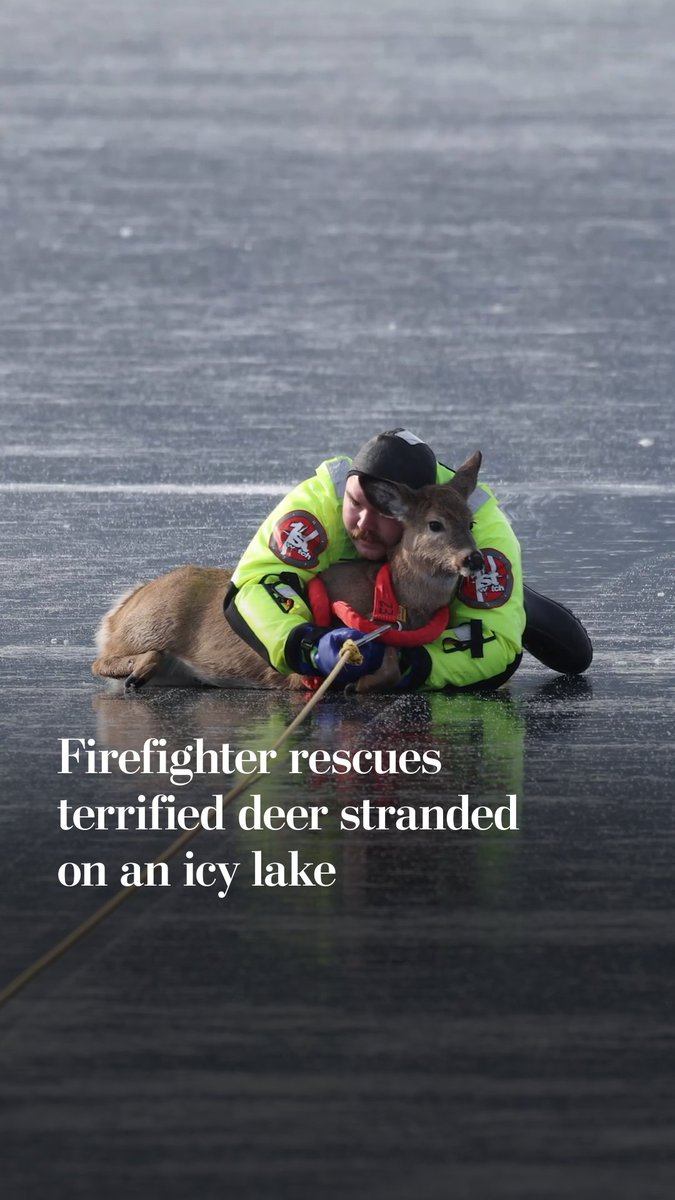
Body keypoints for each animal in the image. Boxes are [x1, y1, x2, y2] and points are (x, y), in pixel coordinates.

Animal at [92, 451, 484, 694]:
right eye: (434, 524)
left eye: (470, 521)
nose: (474, 559)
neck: (399, 599)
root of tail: (118, 610)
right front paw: (354, 683)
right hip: (150, 624)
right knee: (101, 660)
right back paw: (138, 672)